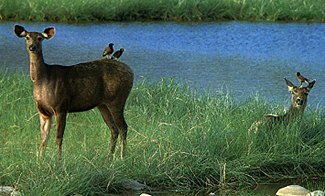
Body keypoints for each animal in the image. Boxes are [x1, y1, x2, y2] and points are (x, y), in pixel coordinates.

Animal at [13, 24, 133, 159]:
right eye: (27, 37)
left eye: (40, 38)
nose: (32, 47)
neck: (42, 80)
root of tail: (131, 72)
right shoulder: (43, 112)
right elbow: (43, 138)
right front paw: (40, 160)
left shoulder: (61, 107)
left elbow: (58, 137)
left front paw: (59, 160)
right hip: (102, 105)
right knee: (114, 129)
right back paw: (109, 158)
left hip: (117, 99)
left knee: (123, 127)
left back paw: (122, 157)